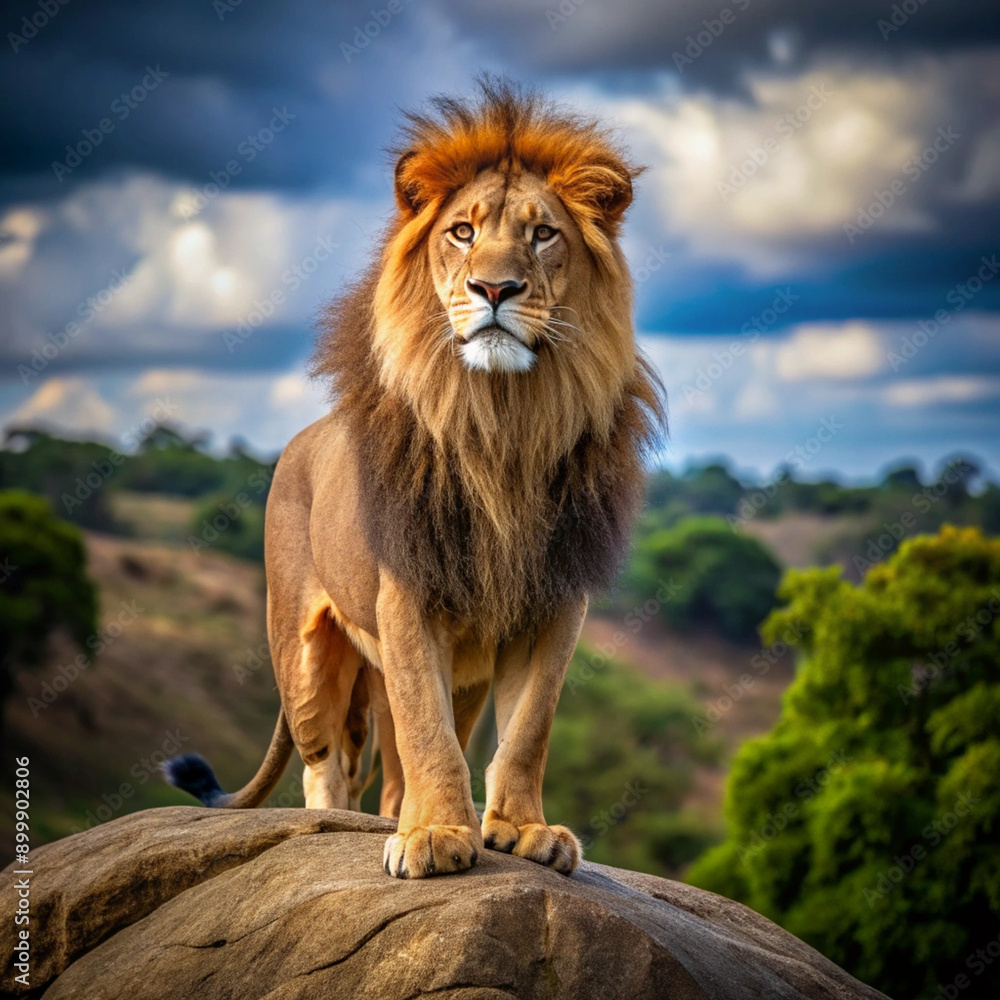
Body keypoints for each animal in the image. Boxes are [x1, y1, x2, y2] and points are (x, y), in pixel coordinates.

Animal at [165, 79, 664, 879]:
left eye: (542, 235)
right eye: (461, 232)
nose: (494, 287)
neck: (504, 422)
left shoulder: (556, 599)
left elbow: (528, 728)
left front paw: (521, 829)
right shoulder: (407, 593)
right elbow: (428, 733)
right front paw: (434, 836)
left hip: (458, 674)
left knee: (394, 768)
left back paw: (398, 816)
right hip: (305, 654)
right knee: (328, 761)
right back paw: (343, 820)